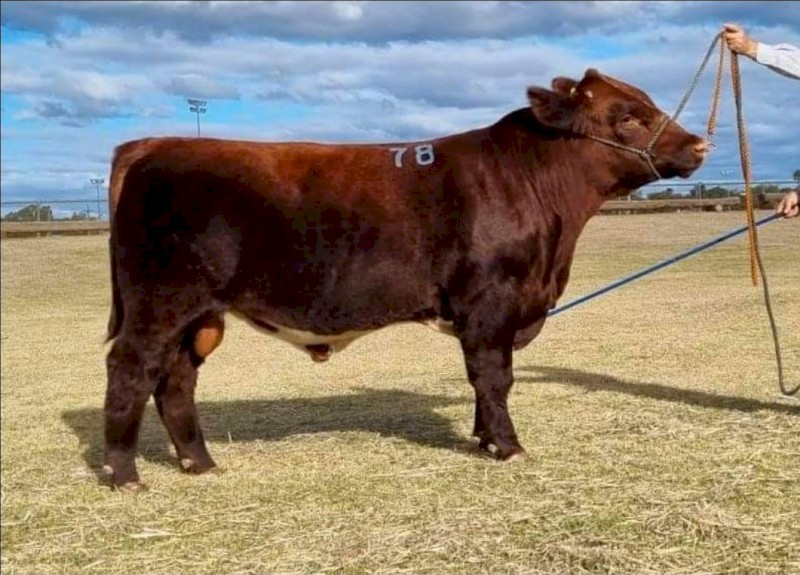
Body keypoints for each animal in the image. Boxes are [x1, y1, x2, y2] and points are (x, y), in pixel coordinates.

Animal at [104, 68, 708, 489]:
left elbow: (484, 383)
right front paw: (508, 447)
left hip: (198, 316)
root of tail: (155, 144)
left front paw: (484, 440)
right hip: (159, 303)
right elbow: (494, 377)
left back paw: (200, 463)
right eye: (628, 116)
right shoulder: (490, 305)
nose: (700, 144)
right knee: (131, 371)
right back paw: (123, 474)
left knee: (176, 380)